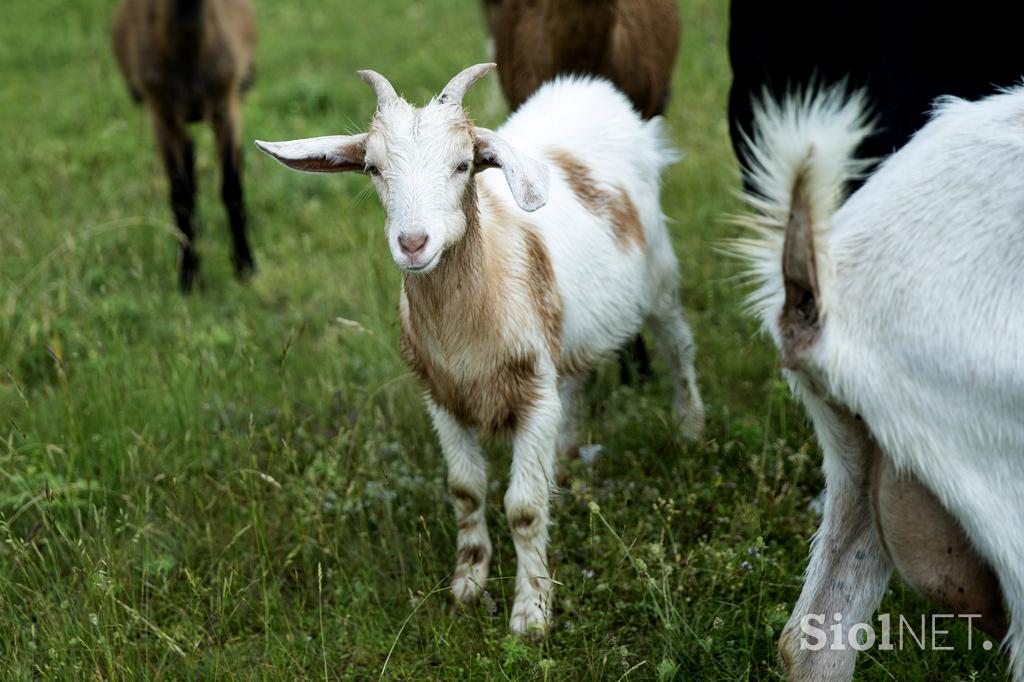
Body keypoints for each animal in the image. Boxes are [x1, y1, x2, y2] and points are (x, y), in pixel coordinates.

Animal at [256, 63, 704, 638]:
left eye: (464, 164)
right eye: (374, 168)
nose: (413, 243)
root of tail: (589, 87)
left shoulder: (534, 396)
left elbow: (524, 507)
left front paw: (532, 612)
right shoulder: (442, 397)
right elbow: (465, 489)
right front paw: (467, 584)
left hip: (660, 275)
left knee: (677, 345)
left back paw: (691, 426)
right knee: (577, 380)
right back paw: (566, 460)